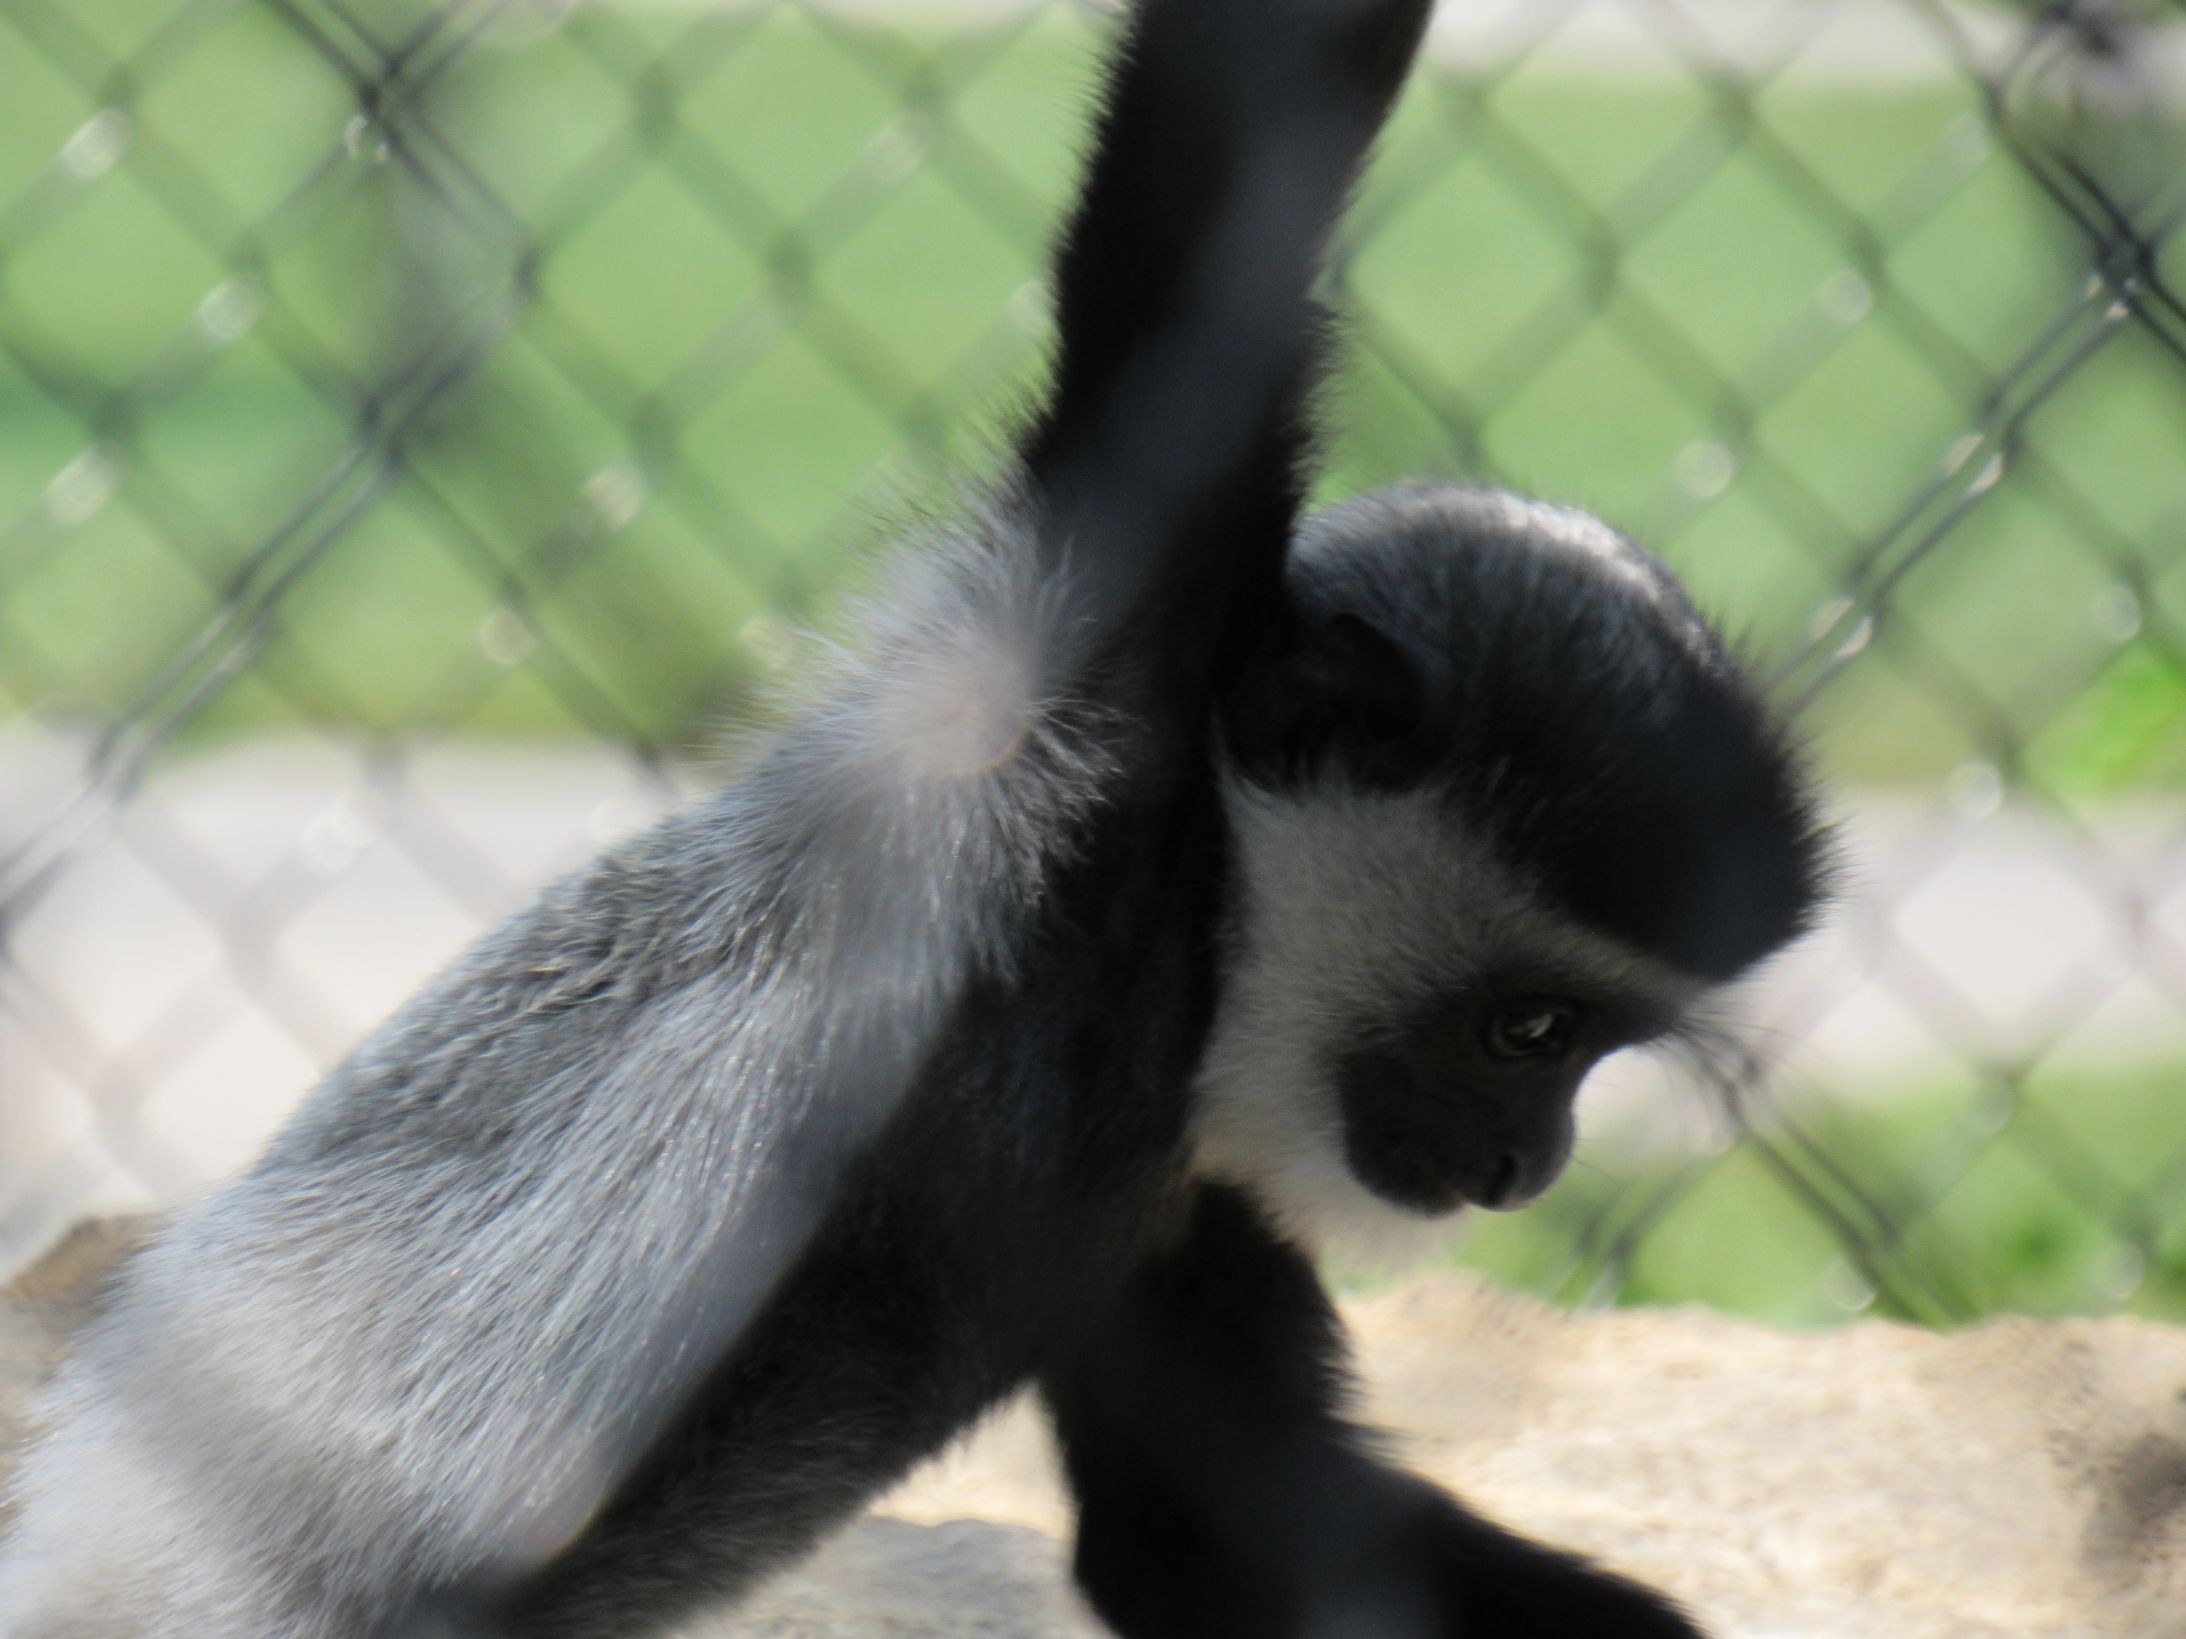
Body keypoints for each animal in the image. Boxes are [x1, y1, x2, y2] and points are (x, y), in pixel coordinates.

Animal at [0, 3, 1827, 1639]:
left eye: (1590, 1048)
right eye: (1530, 1027)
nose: (1532, 1163)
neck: (1184, 939)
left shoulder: (1174, 1190)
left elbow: (1215, 1546)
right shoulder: (1096, 696)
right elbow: (1216, 176)